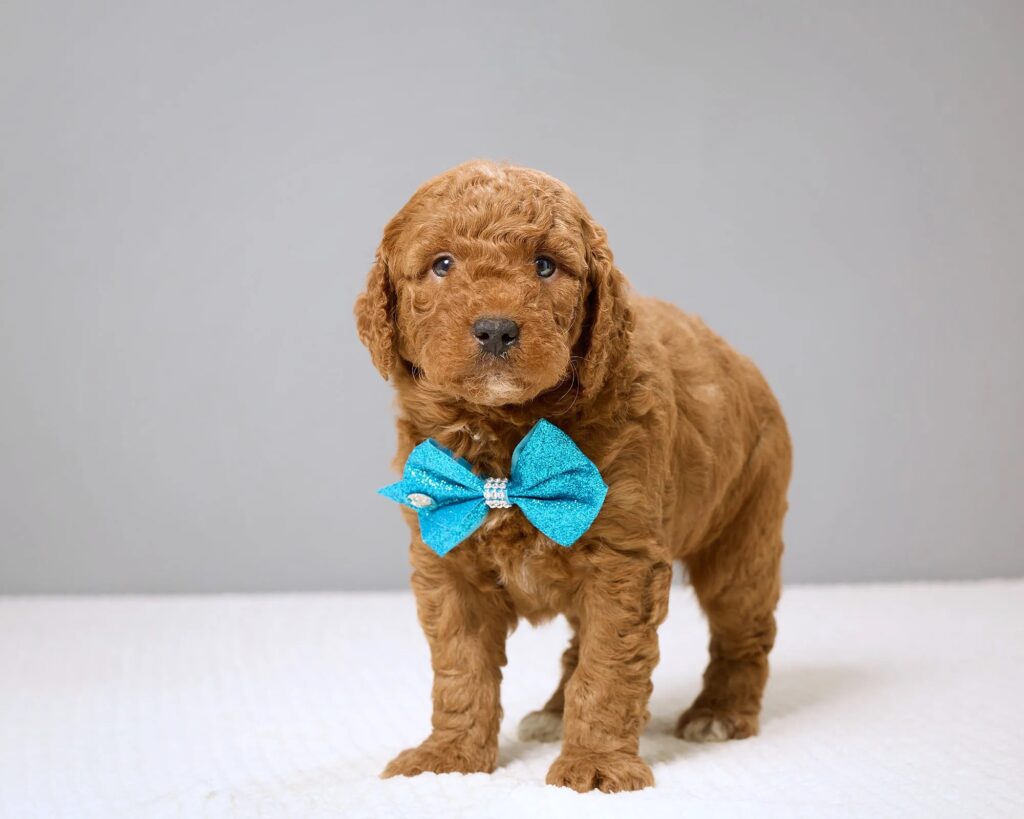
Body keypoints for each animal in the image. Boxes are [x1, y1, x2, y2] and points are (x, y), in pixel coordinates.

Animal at [356, 161, 794, 794]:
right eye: (442, 264)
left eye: (545, 265)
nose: (495, 329)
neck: (509, 436)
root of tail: (739, 358)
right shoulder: (447, 561)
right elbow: (461, 668)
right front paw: (450, 756)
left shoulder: (623, 561)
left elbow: (608, 666)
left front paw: (596, 762)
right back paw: (554, 711)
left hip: (744, 529)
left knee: (744, 628)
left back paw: (720, 713)